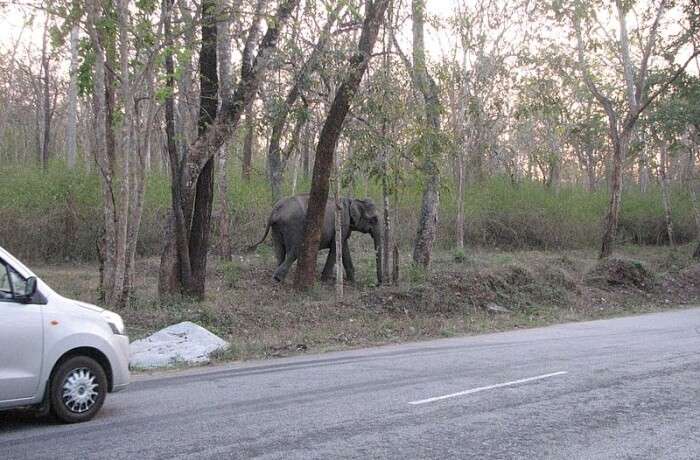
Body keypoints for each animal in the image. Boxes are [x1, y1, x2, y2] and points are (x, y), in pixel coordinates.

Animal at [249, 194, 382, 284]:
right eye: (374, 219)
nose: (378, 284)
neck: (352, 199)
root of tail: (276, 210)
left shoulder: (344, 227)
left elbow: (344, 247)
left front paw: (352, 281)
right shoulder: (341, 223)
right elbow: (335, 248)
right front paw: (326, 280)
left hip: (276, 228)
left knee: (279, 251)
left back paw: (278, 276)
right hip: (294, 226)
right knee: (294, 251)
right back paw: (278, 279)